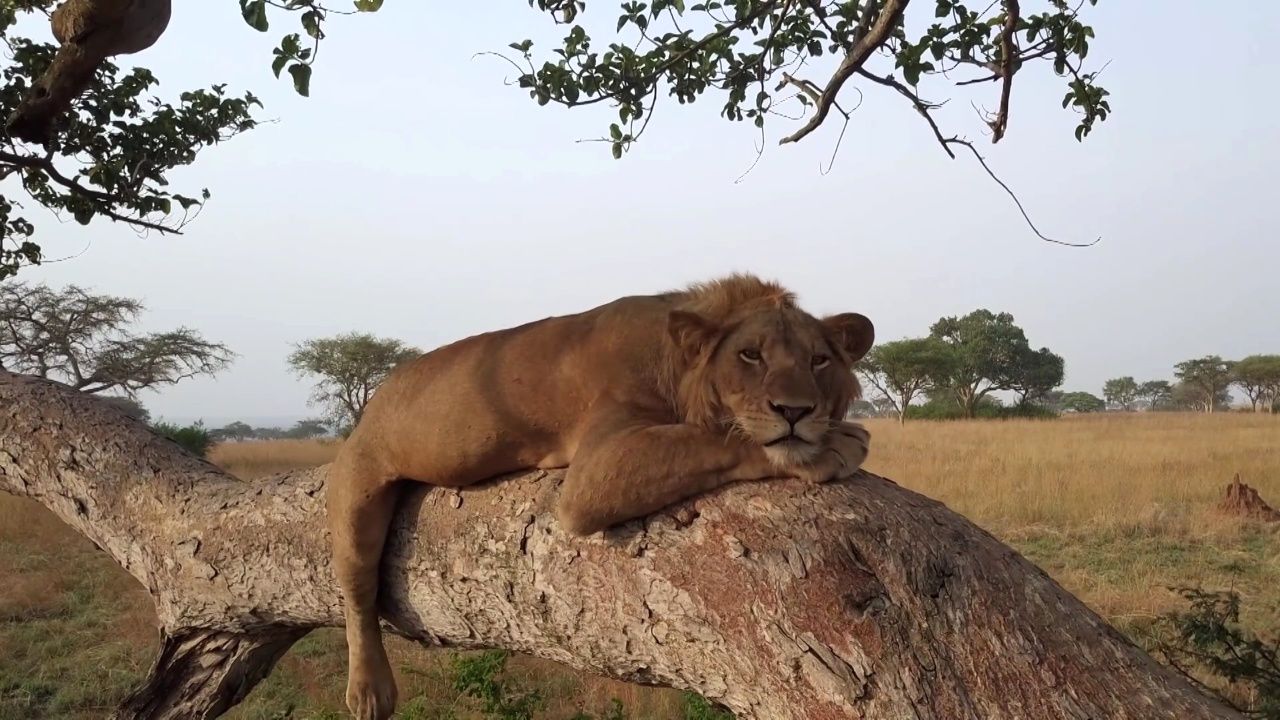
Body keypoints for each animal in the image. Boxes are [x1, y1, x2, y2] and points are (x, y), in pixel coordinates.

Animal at [325, 271, 875, 712]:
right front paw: (834, 445)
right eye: (750, 355)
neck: (675, 359)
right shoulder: (594, 471)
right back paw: (369, 692)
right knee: (357, 587)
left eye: (819, 361)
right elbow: (715, 437)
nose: (796, 411)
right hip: (357, 484)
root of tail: (378, 393)